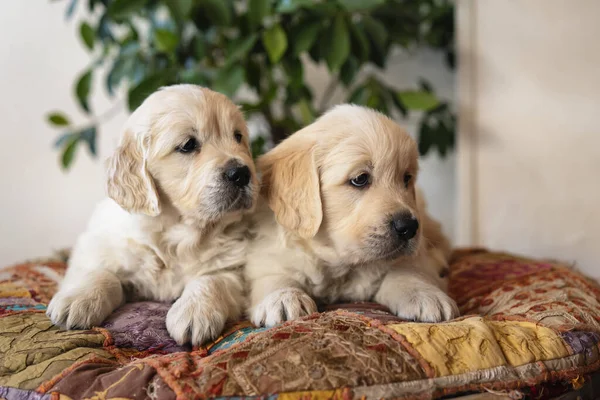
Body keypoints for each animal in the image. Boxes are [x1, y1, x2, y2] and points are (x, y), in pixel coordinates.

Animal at [48, 85, 258, 346]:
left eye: (238, 137)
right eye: (188, 145)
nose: (241, 173)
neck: (176, 233)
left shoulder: (232, 266)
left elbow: (211, 279)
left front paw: (194, 311)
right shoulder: (99, 247)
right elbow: (102, 271)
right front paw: (78, 299)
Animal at [246, 104, 458, 326]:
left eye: (406, 178)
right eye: (360, 179)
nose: (408, 227)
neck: (341, 265)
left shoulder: (412, 255)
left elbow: (408, 269)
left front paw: (425, 295)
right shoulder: (269, 252)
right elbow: (273, 274)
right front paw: (283, 298)